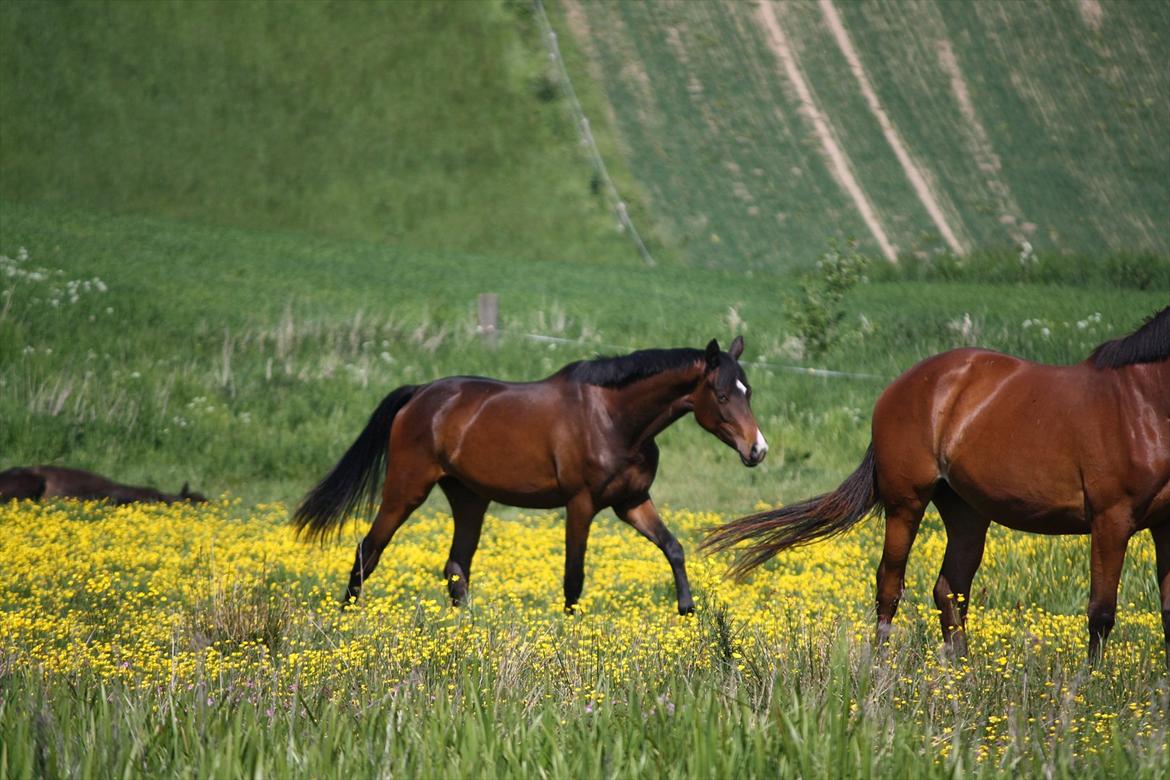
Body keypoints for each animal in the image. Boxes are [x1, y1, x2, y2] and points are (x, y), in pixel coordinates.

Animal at [294, 336, 767, 617]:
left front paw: (687, 609)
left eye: (748, 392)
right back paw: (347, 619)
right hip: (405, 491)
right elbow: (574, 576)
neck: (614, 418)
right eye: (721, 395)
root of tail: (419, 394)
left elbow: (673, 547)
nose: (756, 450)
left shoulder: (632, 502)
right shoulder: (581, 504)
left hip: (469, 498)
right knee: (368, 550)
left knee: (456, 567)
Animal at [702, 304, 1170, 664]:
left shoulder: (1164, 526)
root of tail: (903, 384)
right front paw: (1092, 684)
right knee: (890, 586)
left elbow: (1166, 610)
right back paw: (881, 668)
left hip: (967, 512)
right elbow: (1101, 612)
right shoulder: (1111, 520)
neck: (1141, 403)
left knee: (950, 591)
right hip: (906, 504)